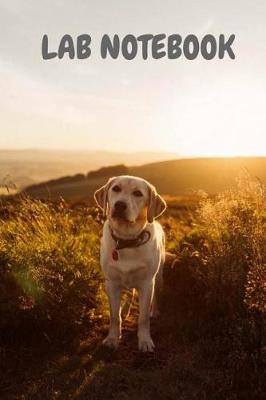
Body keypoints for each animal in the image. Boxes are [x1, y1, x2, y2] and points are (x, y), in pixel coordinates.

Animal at [94, 174, 166, 350]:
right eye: (116, 188)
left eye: (138, 193)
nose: (120, 205)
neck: (126, 240)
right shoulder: (111, 283)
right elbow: (114, 316)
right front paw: (112, 339)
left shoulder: (147, 283)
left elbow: (143, 318)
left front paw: (145, 341)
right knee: (129, 294)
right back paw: (125, 310)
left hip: (158, 277)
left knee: (156, 295)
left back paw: (155, 311)